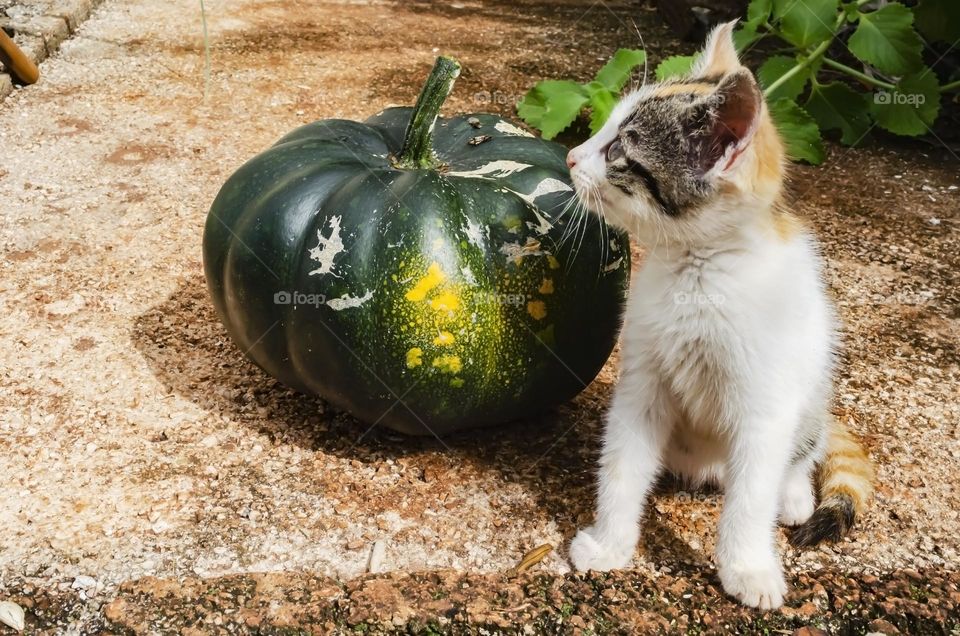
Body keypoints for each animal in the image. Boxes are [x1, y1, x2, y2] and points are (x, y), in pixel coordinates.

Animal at [568, 21, 872, 612]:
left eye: (617, 148)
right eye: (602, 133)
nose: (570, 156)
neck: (695, 270)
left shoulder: (767, 405)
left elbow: (751, 495)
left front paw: (747, 569)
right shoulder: (641, 380)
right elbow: (622, 463)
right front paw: (609, 544)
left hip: (812, 384)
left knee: (803, 451)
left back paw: (794, 496)